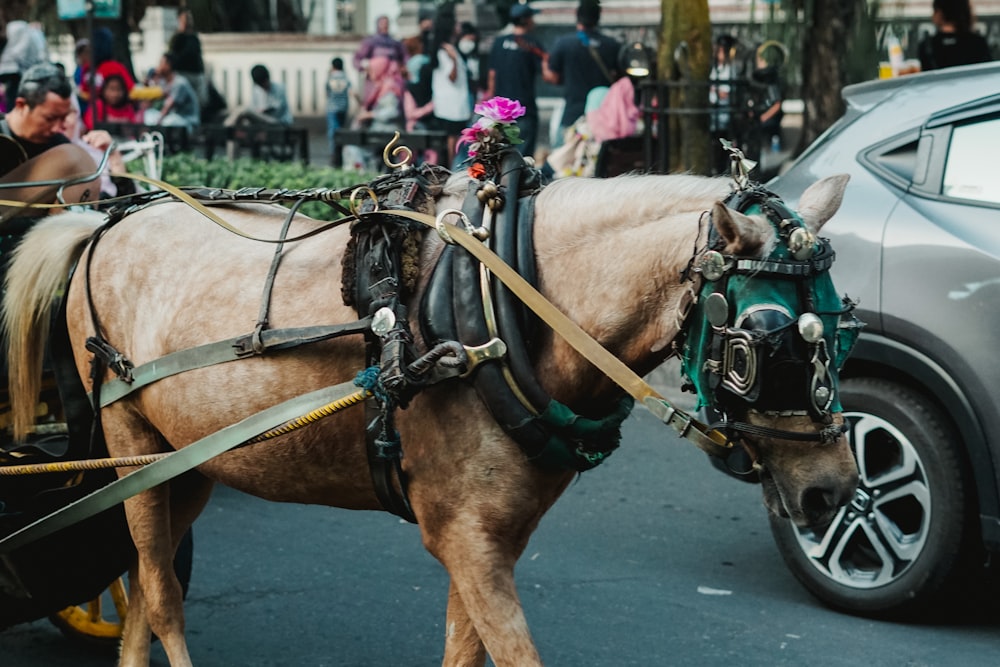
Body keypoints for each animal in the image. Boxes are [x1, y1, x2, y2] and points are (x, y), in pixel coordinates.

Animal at [3, 170, 856, 664]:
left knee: (140, 589)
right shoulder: (467, 540)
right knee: (160, 595)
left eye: (844, 327)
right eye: (762, 343)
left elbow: (464, 653)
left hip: (189, 462)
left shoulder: (488, 538)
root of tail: (102, 223)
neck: (496, 314)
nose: (835, 490)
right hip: (129, 449)